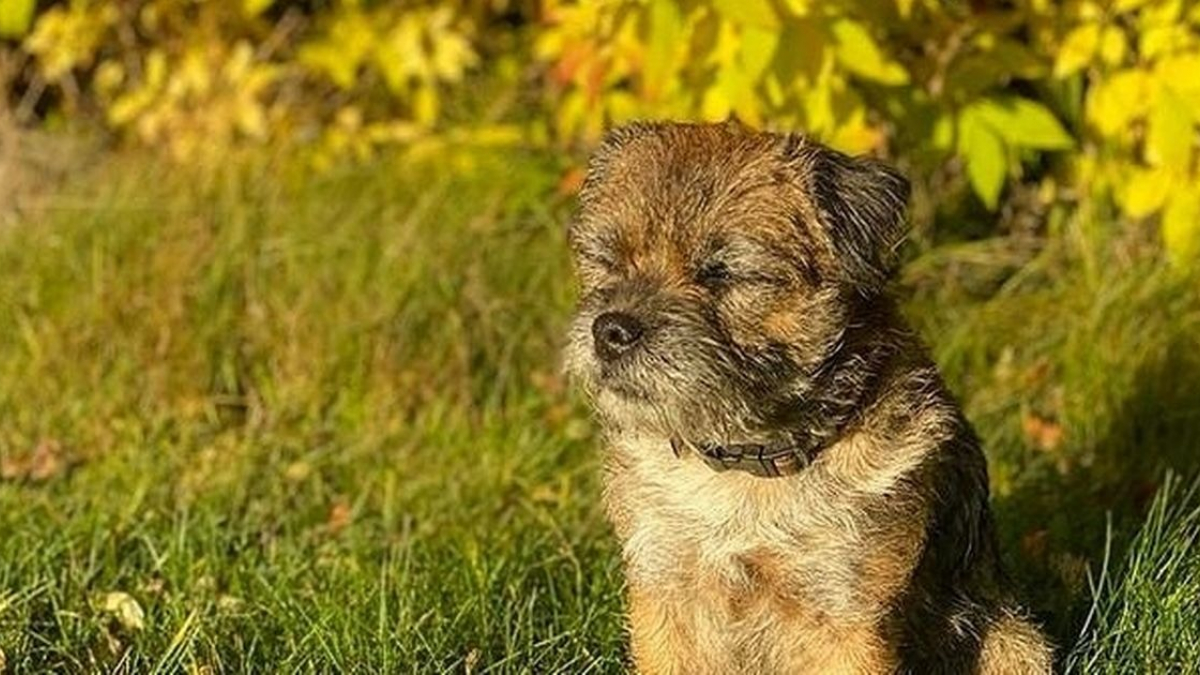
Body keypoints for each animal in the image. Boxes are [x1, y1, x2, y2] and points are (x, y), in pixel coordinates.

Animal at [561, 121, 1051, 672]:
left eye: (723, 274)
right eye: (606, 260)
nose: (611, 330)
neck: (747, 461)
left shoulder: (845, 615)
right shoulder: (666, 590)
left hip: (1014, 639)